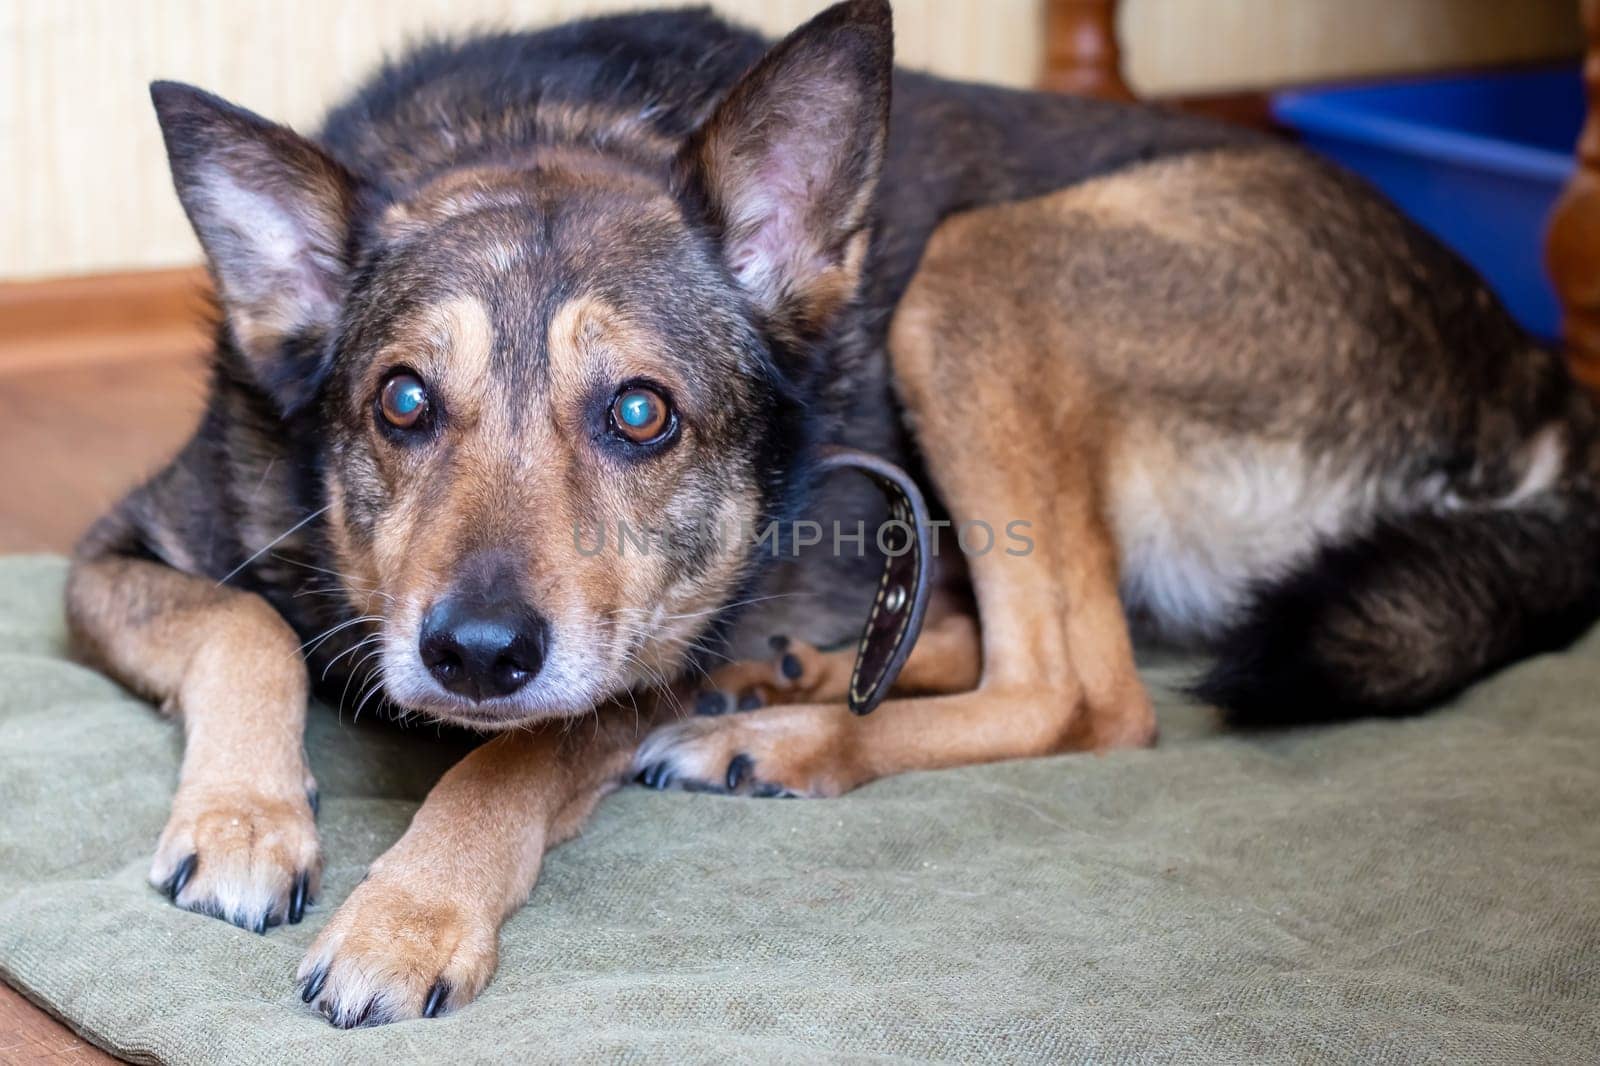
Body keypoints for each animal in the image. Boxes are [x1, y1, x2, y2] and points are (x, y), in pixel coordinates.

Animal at [68, 0, 1600, 1024]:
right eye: (398, 402)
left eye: (641, 413)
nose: (477, 654)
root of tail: (1523, 371)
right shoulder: (114, 555)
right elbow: (244, 629)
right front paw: (247, 817)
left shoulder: (637, 656)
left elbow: (507, 763)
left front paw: (410, 909)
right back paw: (791, 676)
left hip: (982, 268)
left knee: (1084, 691)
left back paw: (781, 736)